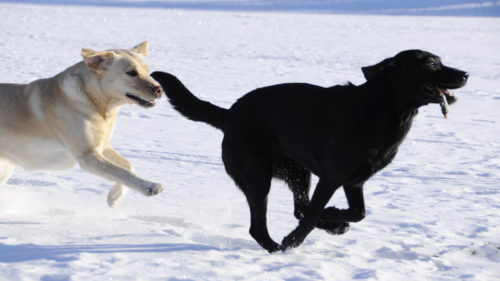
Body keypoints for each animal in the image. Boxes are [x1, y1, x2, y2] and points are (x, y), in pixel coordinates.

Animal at [152, 48, 468, 252]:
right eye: (431, 63)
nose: (465, 74)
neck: (385, 109)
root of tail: (229, 114)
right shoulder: (332, 176)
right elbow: (315, 213)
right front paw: (294, 240)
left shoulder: (354, 181)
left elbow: (357, 213)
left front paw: (336, 218)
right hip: (257, 177)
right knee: (262, 225)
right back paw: (278, 248)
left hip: (297, 170)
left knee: (298, 208)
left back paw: (330, 226)